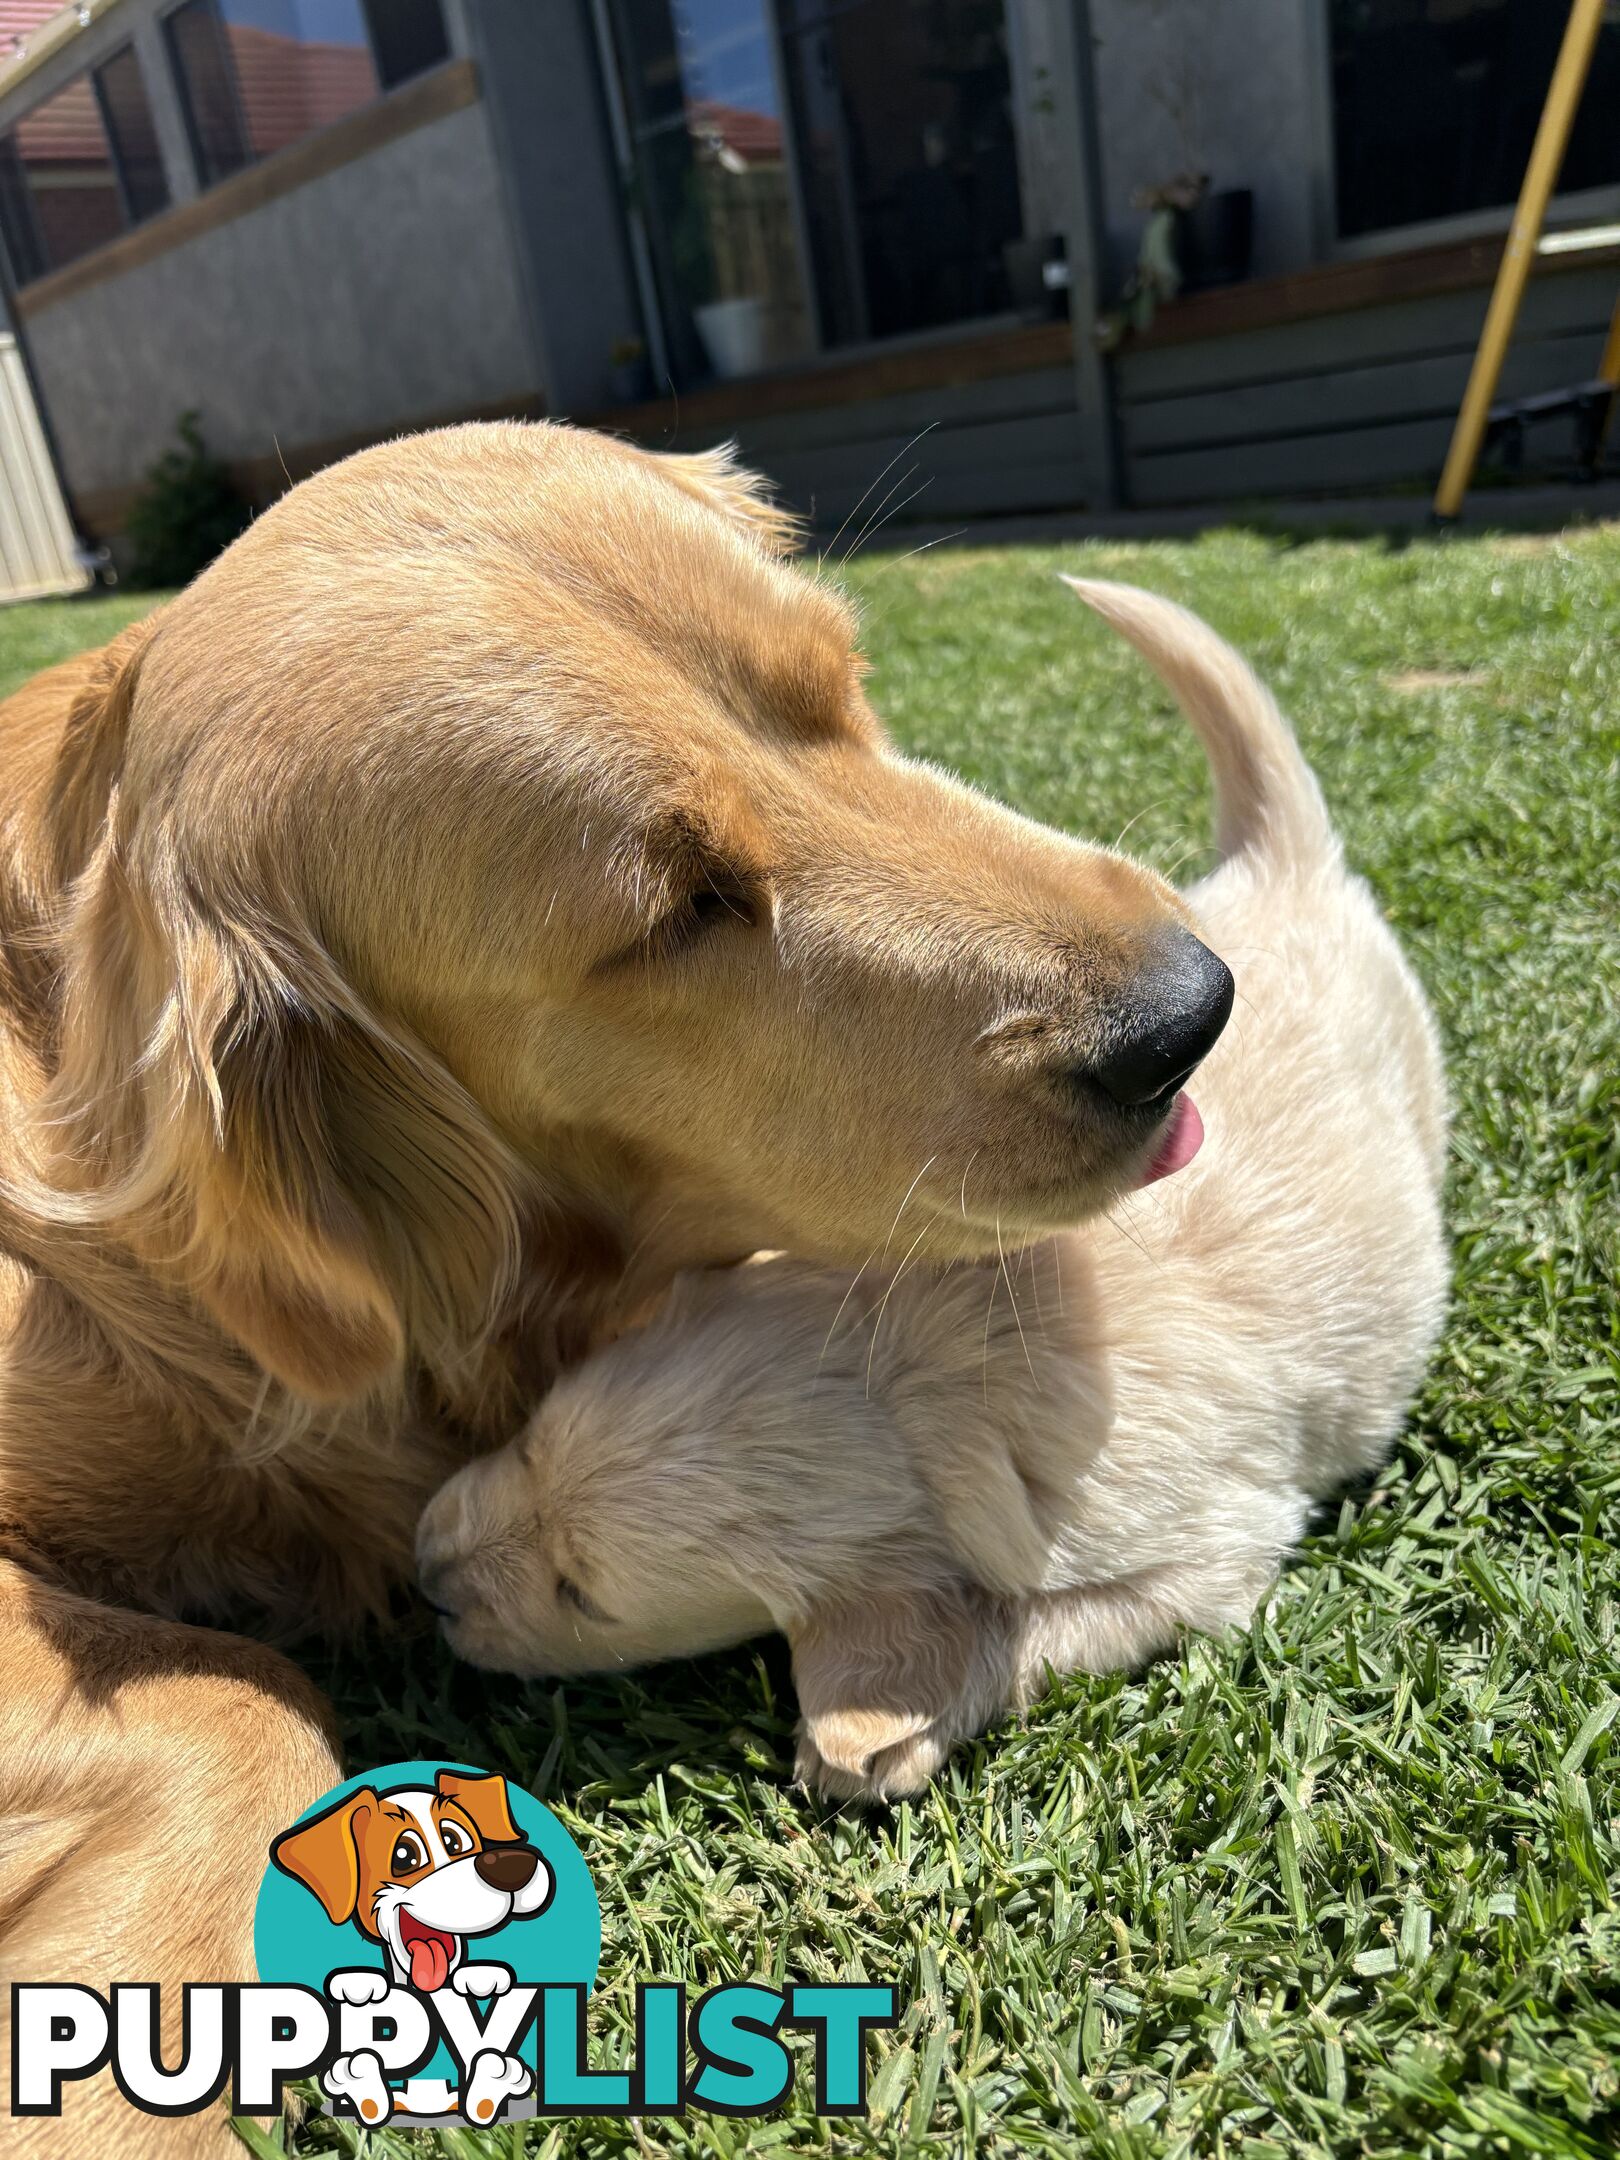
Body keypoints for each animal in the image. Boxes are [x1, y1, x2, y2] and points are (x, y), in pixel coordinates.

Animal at [414, 583, 1442, 1797]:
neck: (919, 1370)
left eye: (584, 1595)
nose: (424, 1578)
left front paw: (867, 1742)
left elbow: (1036, 1627)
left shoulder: (1211, 1549)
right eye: (531, 1441)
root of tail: (1281, 865)